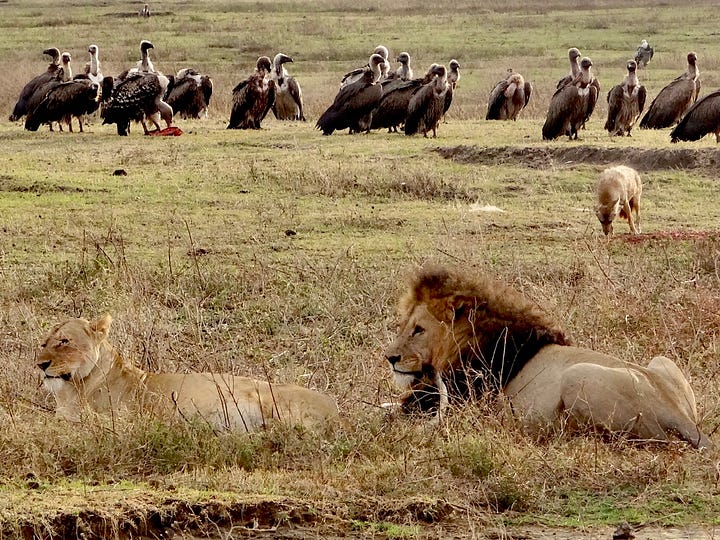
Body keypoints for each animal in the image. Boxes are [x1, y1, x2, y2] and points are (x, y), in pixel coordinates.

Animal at [38, 314, 342, 432]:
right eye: (44, 343)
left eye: (64, 341)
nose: (40, 365)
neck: (73, 389)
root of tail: (339, 411)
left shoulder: (125, 421)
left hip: (273, 401)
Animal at [386, 264, 712, 450]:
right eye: (402, 325)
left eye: (418, 330)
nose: (389, 357)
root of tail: (679, 415)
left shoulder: (463, 406)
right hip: (661, 360)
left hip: (578, 376)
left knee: (652, 440)